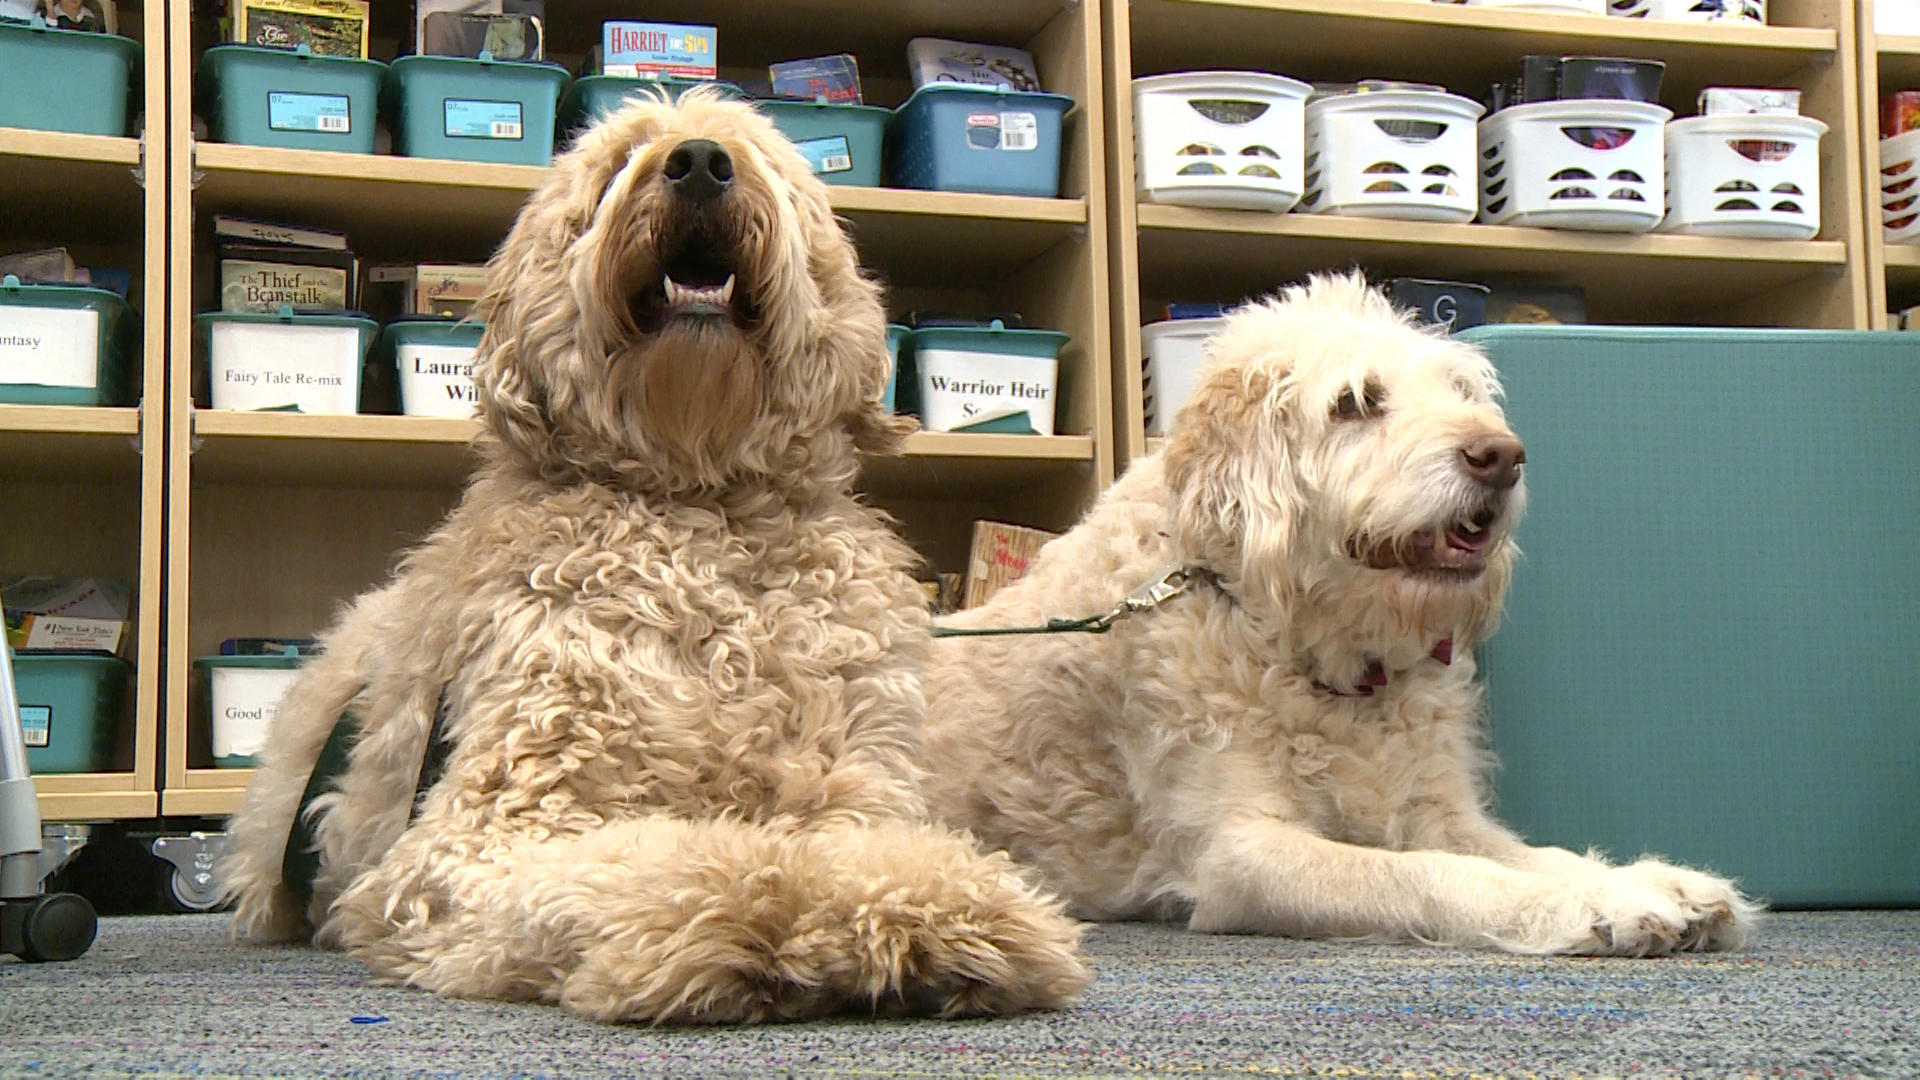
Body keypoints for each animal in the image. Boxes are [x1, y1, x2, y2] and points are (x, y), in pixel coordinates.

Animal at [217, 90, 1090, 1014]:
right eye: (614, 168)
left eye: (757, 155)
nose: (700, 162)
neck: (700, 508)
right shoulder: (490, 828)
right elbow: (679, 859)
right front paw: (763, 924)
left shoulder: (857, 785)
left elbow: (873, 851)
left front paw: (947, 916)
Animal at [921, 272, 1758, 953]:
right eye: (1356, 404)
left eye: (1462, 394)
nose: (1501, 456)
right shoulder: (1242, 854)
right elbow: (1430, 874)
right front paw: (1592, 905)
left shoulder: (1438, 809)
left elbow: (1525, 852)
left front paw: (1656, 880)